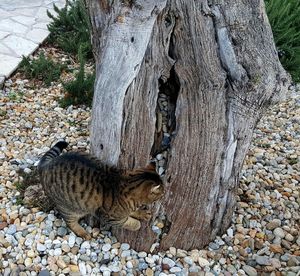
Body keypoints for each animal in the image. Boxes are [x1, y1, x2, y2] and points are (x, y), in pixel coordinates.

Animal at [37, 140, 165, 239]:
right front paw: (137, 223)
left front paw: (141, 213)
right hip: (69, 209)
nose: (164, 196)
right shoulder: (112, 218)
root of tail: (45, 166)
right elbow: (130, 222)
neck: (126, 182)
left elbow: (133, 212)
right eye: (162, 193)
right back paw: (83, 233)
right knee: (70, 223)